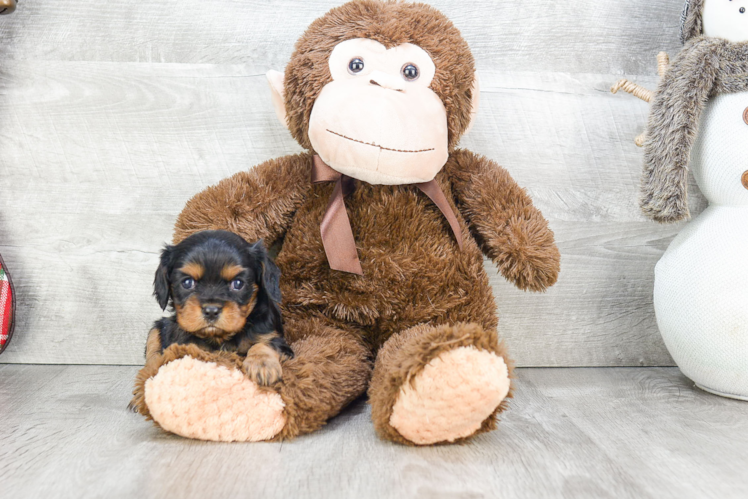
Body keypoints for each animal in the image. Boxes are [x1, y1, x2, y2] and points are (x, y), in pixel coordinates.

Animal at [143, 230, 292, 386]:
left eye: (238, 283)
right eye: (187, 282)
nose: (211, 311)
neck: (219, 337)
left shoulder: (278, 341)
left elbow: (265, 343)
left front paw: (262, 364)